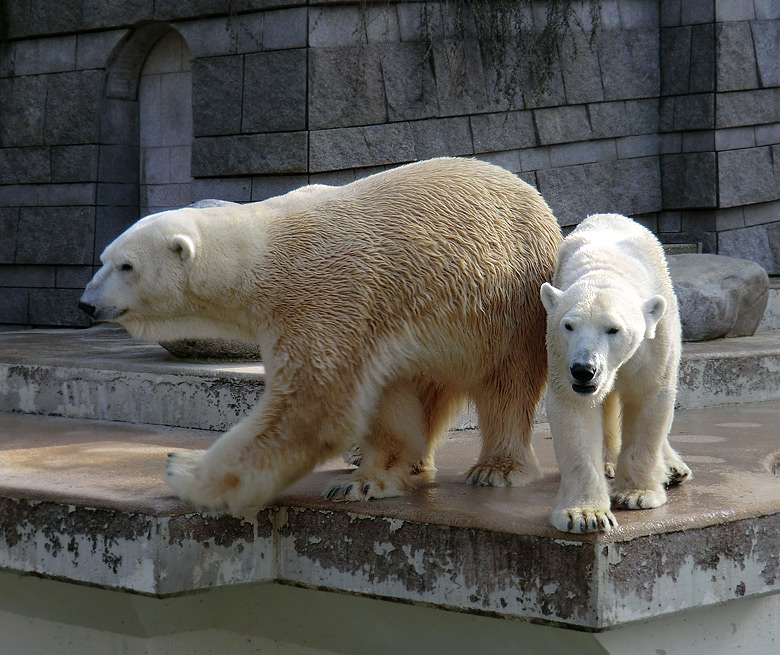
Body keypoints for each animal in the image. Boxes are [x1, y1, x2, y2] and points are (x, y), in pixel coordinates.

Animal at [79, 158, 564, 512]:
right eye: (103, 258)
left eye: (126, 266)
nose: (86, 303)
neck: (261, 252)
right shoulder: (368, 321)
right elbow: (380, 396)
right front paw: (367, 480)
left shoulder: (321, 297)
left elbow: (311, 407)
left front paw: (185, 470)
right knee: (420, 386)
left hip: (505, 311)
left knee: (507, 387)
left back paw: (496, 469)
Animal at [540, 214, 692, 532]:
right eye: (569, 325)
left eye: (613, 329)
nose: (584, 370)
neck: (606, 265)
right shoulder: (559, 351)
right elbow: (575, 409)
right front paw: (586, 515)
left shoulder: (653, 341)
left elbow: (648, 398)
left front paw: (636, 494)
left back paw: (673, 469)